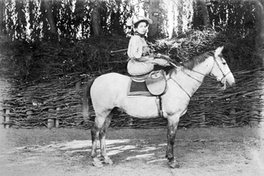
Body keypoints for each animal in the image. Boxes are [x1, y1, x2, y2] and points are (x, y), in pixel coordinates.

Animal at [82, 46, 235, 168]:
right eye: (224, 62)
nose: (232, 81)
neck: (180, 83)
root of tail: (96, 79)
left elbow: (168, 137)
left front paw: (168, 157)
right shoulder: (174, 117)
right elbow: (172, 137)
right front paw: (172, 161)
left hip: (110, 113)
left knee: (103, 133)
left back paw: (106, 158)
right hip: (101, 114)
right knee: (95, 131)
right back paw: (95, 160)